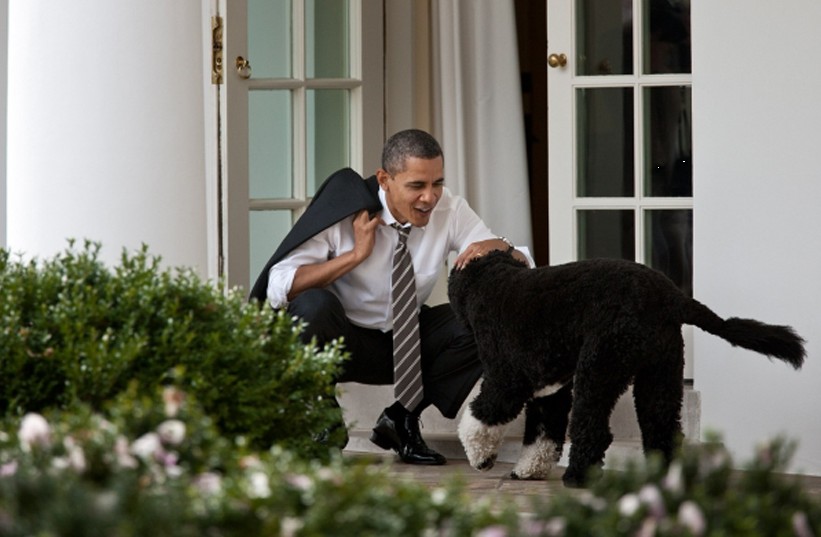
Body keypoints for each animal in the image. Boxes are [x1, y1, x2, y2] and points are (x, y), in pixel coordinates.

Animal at [448, 250, 800, 486]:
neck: (489, 280)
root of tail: (671, 297)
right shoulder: (549, 392)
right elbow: (542, 436)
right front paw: (528, 470)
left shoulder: (506, 382)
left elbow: (479, 419)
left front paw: (481, 458)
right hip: (660, 374)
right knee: (663, 429)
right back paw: (665, 479)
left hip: (599, 367)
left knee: (593, 428)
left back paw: (577, 477)